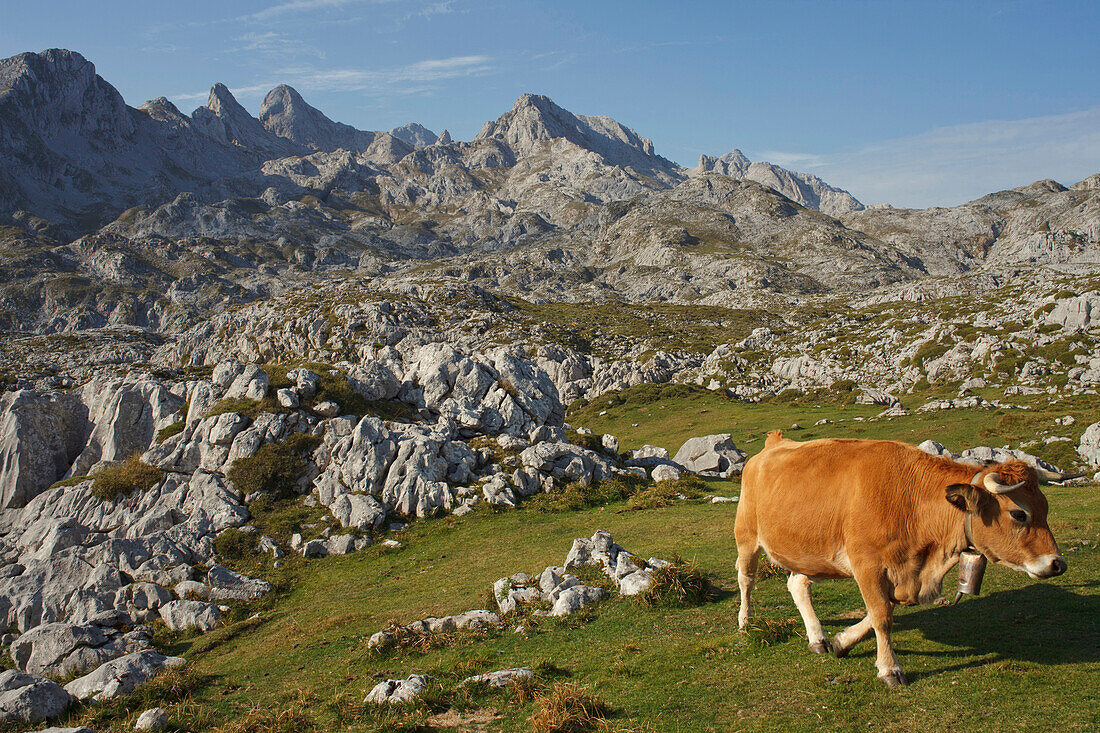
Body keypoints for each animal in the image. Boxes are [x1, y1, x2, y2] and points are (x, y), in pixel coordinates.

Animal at [739, 429, 1064, 686]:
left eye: (1046, 508)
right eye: (1019, 514)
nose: (1058, 563)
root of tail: (773, 443)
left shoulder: (900, 571)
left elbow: (882, 609)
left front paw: (841, 641)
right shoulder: (866, 564)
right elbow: (882, 615)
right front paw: (890, 669)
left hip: (809, 553)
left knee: (797, 584)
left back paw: (818, 638)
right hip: (746, 537)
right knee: (747, 580)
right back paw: (745, 622)